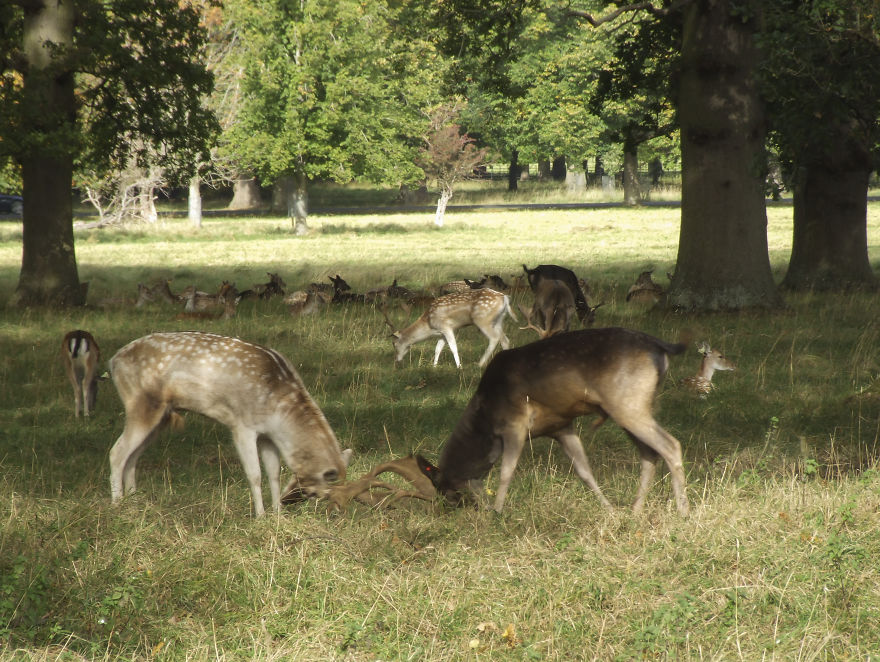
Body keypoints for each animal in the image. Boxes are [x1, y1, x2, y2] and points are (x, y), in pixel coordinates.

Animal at [108, 332, 353, 516]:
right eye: (316, 493)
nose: (286, 502)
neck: (279, 413)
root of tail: (113, 361)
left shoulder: (267, 435)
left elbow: (273, 472)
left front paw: (277, 515)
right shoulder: (242, 425)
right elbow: (254, 474)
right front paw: (261, 516)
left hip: (161, 417)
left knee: (133, 456)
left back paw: (134, 501)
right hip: (140, 404)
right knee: (117, 452)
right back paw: (117, 504)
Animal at [387, 288, 518, 368]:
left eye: (394, 343)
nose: (396, 360)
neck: (429, 325)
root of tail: (505, 298)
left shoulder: (446, 327)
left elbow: (453, 347)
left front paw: (459, 367)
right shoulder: (441, 333)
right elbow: (437, 349)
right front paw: (434, 366)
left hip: (482, 320)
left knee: (494, 338)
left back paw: (479, 364)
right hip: (498, 321)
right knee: (505, 339)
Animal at [416, 327, 691, 516]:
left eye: (445, 491)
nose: (449, 511)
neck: (485, 418)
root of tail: (661, 347)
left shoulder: (515, 423)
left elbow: (506, 471)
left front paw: (497, 511)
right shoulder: (561, 427)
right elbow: (584, 471)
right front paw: (609, 510)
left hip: (628, 403)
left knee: (671, 445)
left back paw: (683, 511)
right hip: (629, 407)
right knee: (649, 454)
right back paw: (635, 511)